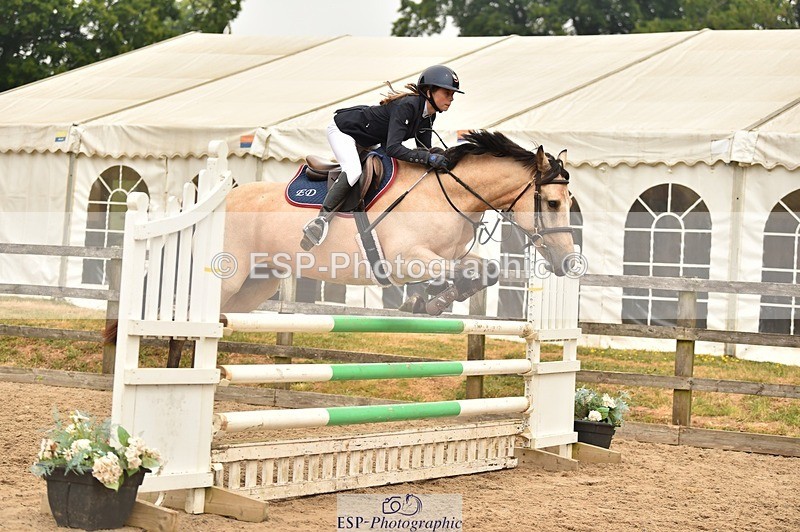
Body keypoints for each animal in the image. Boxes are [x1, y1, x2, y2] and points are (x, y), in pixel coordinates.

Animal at [220, 130, 575, 314]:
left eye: (571, 203)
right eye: (553, 203)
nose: (568, 262)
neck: (449, 195)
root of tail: (226, 198)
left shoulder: (451, 256)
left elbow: (486, 270)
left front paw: (434, 302)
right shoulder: (405, 259)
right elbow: (465, 271)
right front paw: (424, 302)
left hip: (257, 284)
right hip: (231, 279)